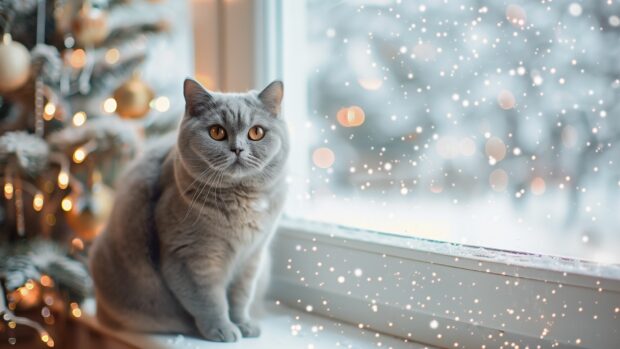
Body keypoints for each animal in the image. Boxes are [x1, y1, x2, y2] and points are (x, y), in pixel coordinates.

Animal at [89, 78, 288, 340]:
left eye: (256, 132)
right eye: (217, 132)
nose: (237, 149)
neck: (241, 202)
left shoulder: (252, 256)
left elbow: (240, 296)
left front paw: (244, 324)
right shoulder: (191, 258)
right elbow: (210, 301)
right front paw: (223, 330)